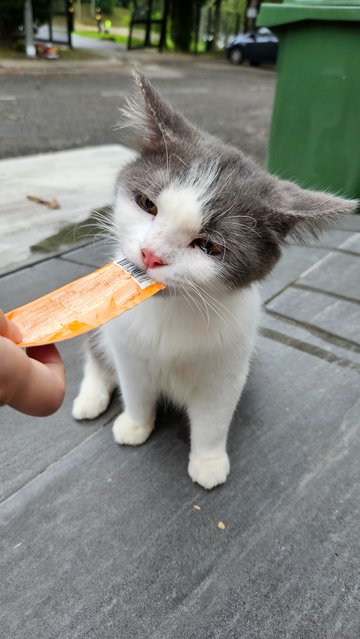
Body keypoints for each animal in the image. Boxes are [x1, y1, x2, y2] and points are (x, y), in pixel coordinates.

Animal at [71, 70, 356, 490]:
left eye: (209, 247)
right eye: (147, 204)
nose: (151, 254)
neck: (171, 312)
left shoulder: (228, 364)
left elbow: (214, 417)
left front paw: (208, 461)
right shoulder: (128, 347)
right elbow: (135, 388)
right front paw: (135, 425)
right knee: (96, 352)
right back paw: (90, 398)